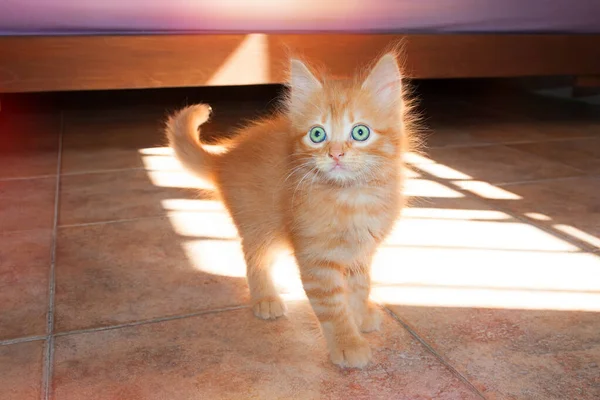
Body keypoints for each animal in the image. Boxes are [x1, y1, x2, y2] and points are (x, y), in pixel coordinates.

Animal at [166, 53, 410, 368]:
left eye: (360, 132)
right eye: (317, 134)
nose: (335, 154)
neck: (351, 197)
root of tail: (225, 159)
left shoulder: (361, 251)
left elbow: (360, 287)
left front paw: (359, 315)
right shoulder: (315, 257)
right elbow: (333, 306)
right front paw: (347, 343)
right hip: (261, 227)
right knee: (254, 260)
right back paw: (265, 298)